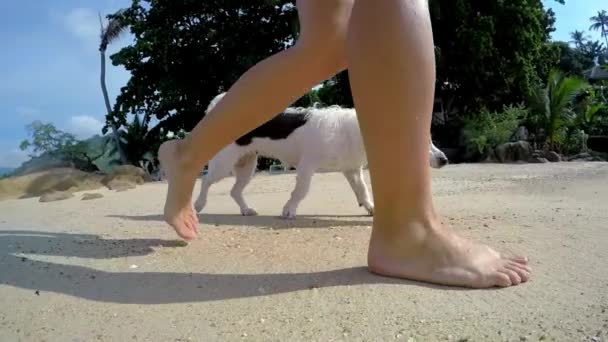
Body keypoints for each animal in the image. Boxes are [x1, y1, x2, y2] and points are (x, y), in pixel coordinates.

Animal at [195, 92, 446, 218]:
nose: (445, 160)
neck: (356, 132)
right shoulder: (306, 167)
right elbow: (301, 191)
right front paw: (289, 209)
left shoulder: (352, 170)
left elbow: (363, 190)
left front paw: (371, 207)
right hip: (223, 163)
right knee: (206, 180)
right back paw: (198, 205)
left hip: (247, 165)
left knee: (235, 191)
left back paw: (246, 210)